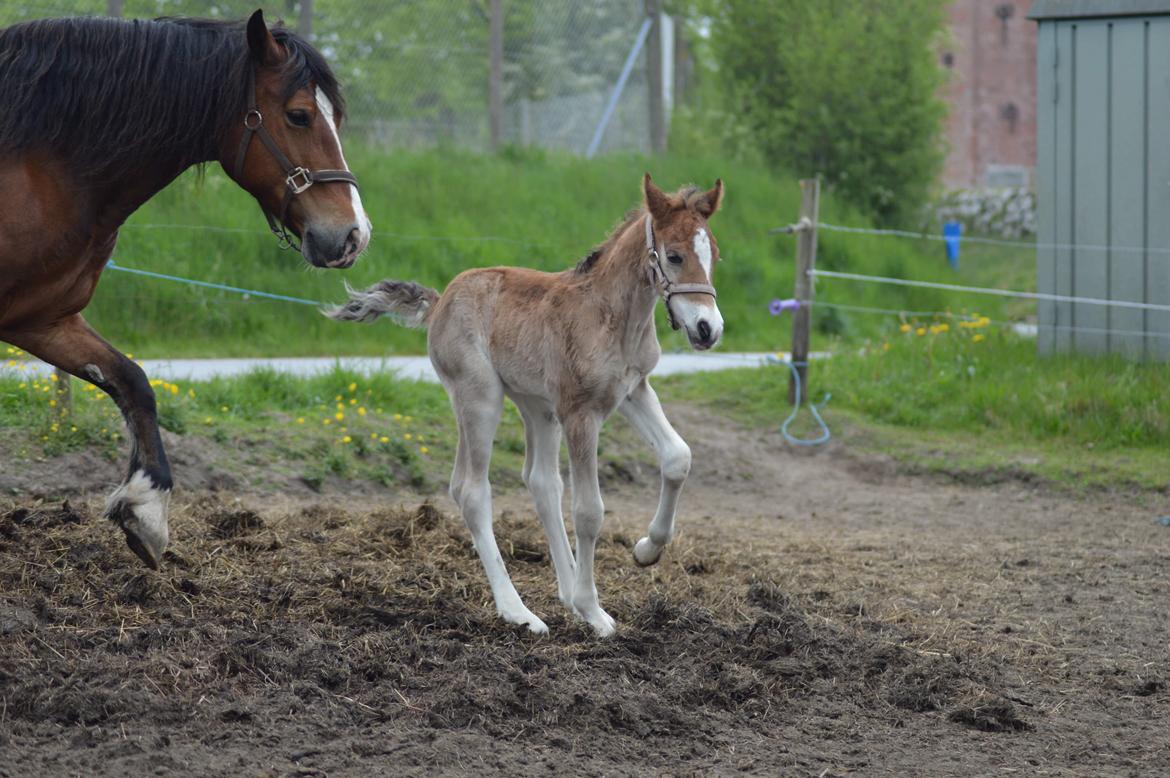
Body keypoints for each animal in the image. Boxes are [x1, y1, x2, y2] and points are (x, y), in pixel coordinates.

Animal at [0, 10, 369, 570]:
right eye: (300, 115)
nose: (352, 235)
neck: (38, 164)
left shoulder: (42, 318)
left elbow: (133, 383)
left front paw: (146, 514)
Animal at [329, 174, 720, 631]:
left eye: (713, 255)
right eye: (674, 256)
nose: (708, 328)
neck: (613, 317)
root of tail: (440, 300)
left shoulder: (633, 390)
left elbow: (678, 457)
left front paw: (646, 551)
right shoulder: (580, 412)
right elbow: (589, 511)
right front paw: (594, 611)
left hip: (537, 406)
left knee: (541, 481)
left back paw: (564, 595)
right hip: (480, 397)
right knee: (471, 491)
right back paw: (520, 612)